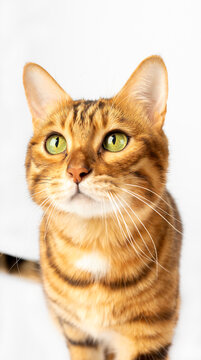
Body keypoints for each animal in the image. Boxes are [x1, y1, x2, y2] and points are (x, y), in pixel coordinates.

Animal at [3, 54, 183, 360]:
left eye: (115, 140)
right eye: (55, 142)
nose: (76, 171)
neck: (94, 241)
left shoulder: (152, 334)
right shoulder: (78, 333)